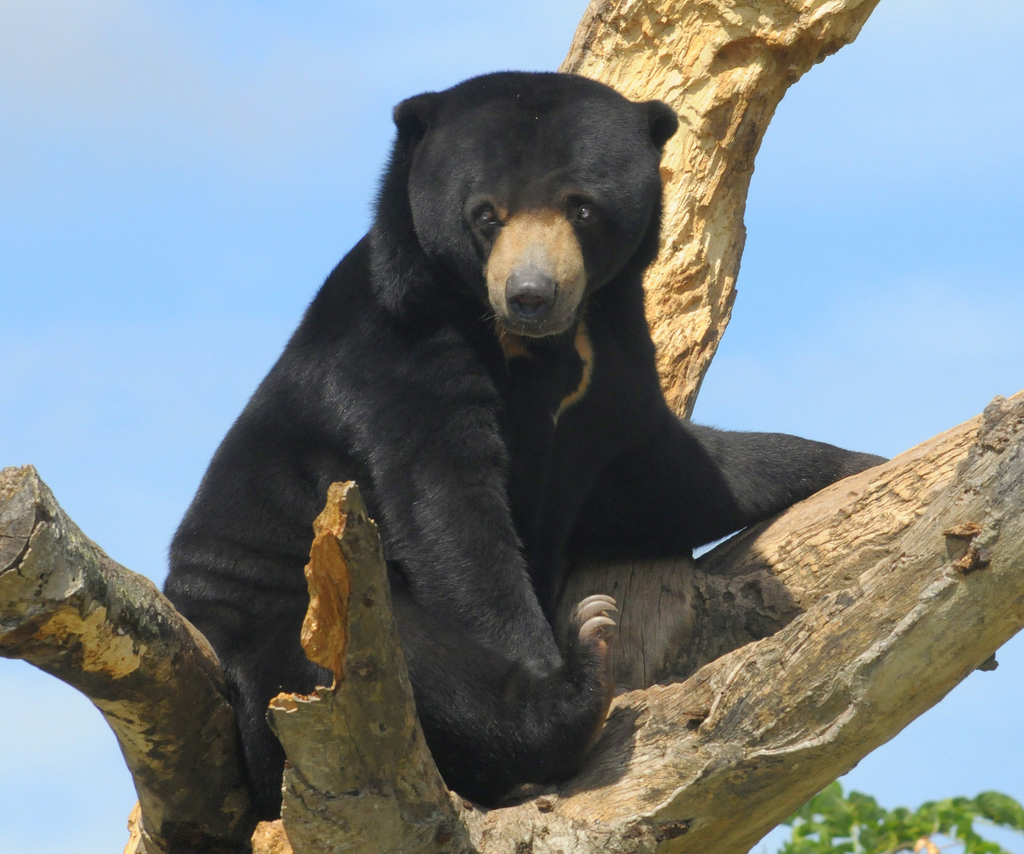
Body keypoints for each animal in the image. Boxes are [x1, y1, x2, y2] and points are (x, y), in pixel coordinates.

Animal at [163, 69, 884, 815]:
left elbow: (660, 476)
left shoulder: (612, 363)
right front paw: (552, 670)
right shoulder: (397, 355)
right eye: (486, 215)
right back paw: (582, 675)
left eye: (582, 208)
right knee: (398, 657)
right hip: (283, 624)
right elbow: (454, 518)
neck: (535, 348)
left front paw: (859, 463)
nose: (530, 294)